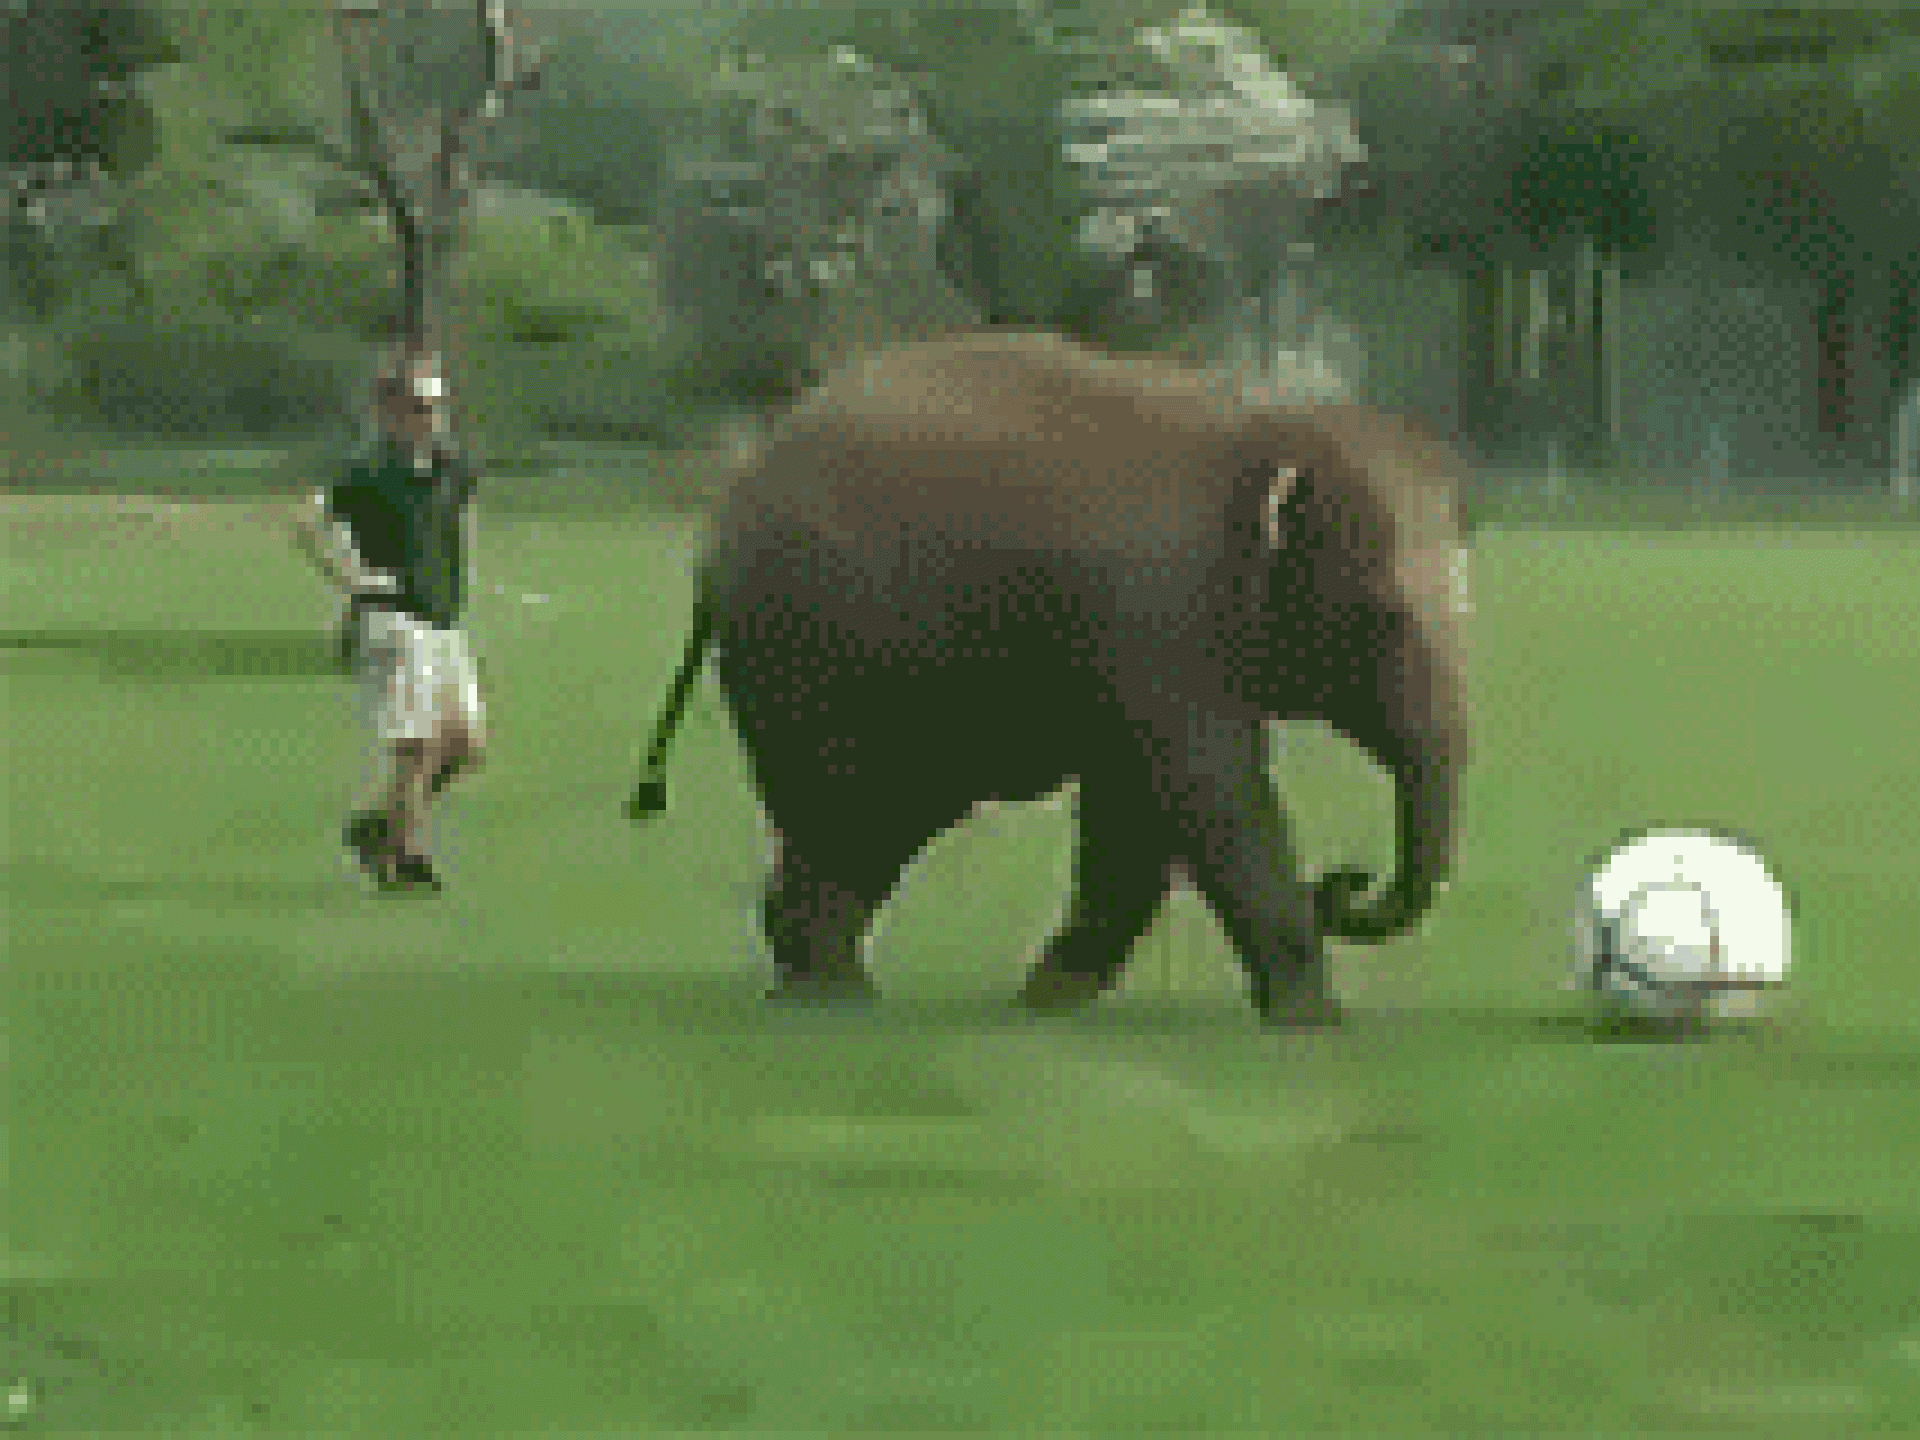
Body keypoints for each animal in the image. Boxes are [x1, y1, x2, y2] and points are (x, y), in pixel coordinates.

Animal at [629, 329, 1473, 1024]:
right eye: (1379, 617)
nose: (1344, 883)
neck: (1268, 429)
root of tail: (716, 528)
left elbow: (1136, 811)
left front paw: (1046, 1003)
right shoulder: (1160, 610)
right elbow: (1206, 791)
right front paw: (1316, 1022)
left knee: (881, 817)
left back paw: (822, 984)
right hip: (811, 649)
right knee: (850, 805)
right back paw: (831, 995)